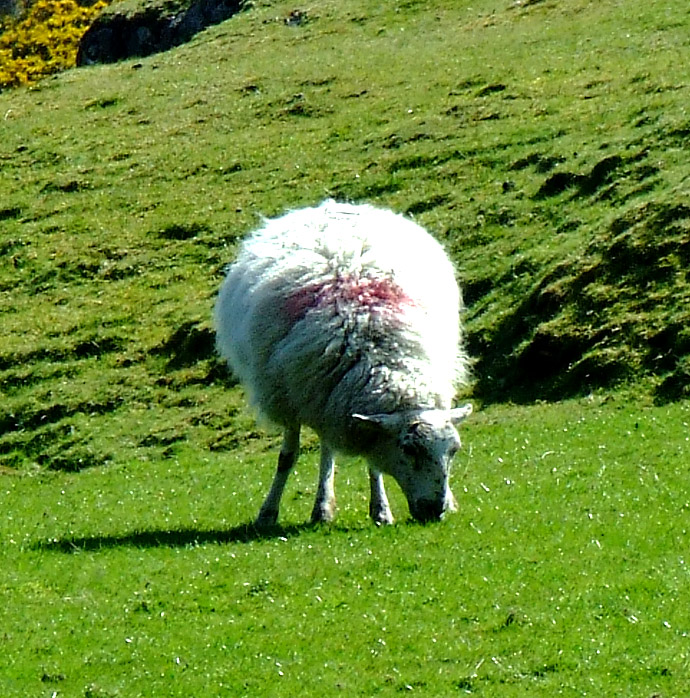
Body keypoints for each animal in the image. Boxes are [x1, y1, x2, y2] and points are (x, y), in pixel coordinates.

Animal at [215, 199, 471, 525]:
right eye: (408, 449)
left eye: (454, 450)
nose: (435, 511)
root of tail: (329, 205)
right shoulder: (288, 397)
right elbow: (287, 457)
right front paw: (267, 513)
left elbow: (373, 461)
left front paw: (381, 510)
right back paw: (320, 509)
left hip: (325, 394)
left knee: (328, 445)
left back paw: (323, 507)